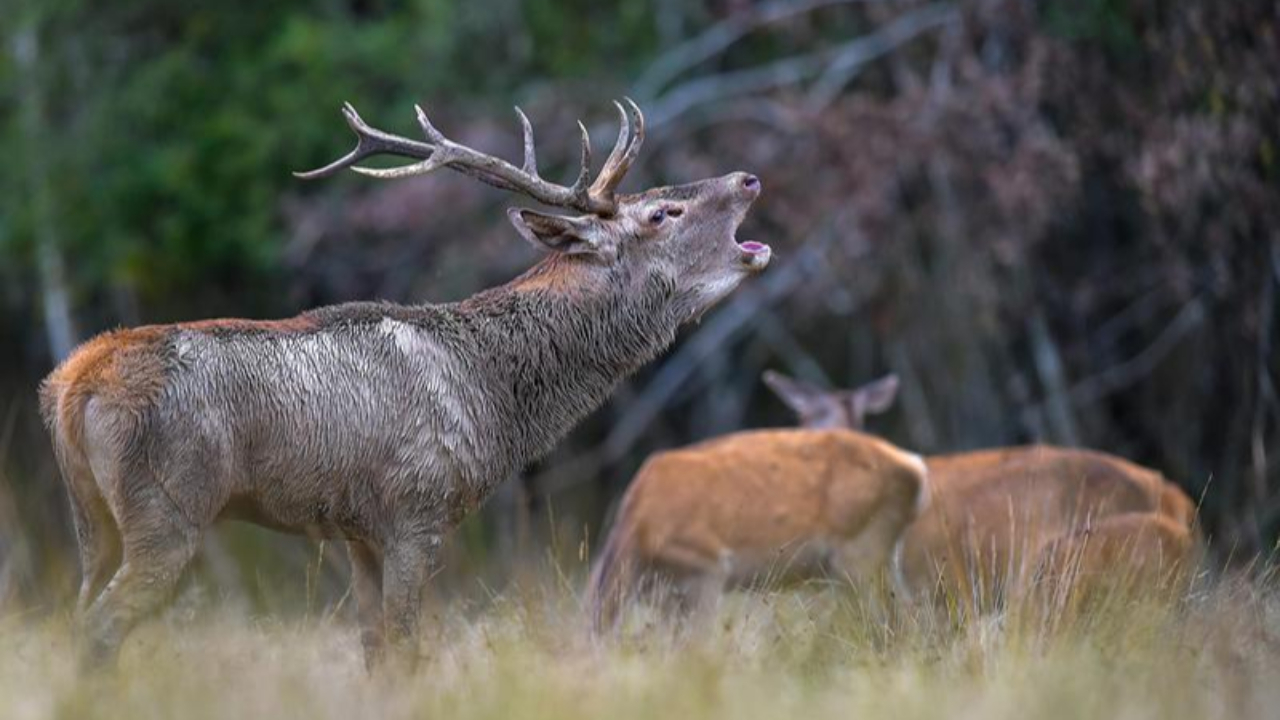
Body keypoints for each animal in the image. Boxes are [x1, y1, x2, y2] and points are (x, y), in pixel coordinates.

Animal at [40, 98, 773, 669]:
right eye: (662, 212)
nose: (747, 178)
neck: (494, 401)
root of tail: (75, 383)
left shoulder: (358, 531)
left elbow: (374, 654)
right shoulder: (417, 510)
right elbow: (406, 650)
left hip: (90, 518)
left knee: (76, 614)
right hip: (166, 505)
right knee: (101, 627)